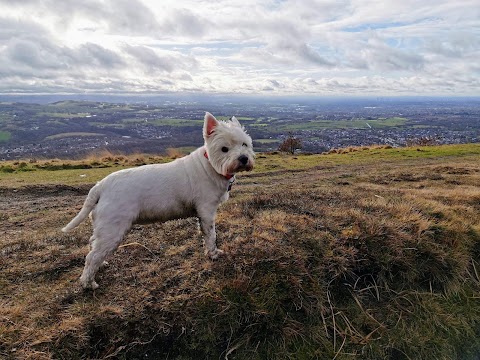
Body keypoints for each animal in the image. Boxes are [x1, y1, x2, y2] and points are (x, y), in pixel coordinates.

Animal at [62, 112, 255, 290]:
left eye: (244, 144)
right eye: (224, 149)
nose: (243, 159)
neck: (210, 166)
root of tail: (100, 186)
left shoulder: (201, 214)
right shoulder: (206, 211)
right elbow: (211, 235)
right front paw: (214, 254)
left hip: (103, 227)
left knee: (93, 244)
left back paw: (101, 265)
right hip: (113, 228)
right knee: (92, 256)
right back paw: (88, 283)